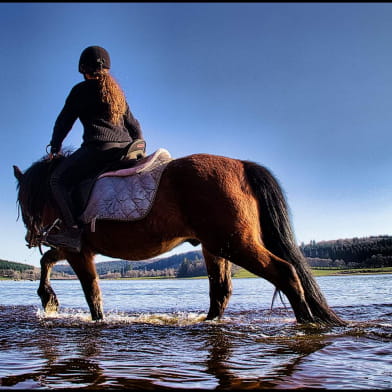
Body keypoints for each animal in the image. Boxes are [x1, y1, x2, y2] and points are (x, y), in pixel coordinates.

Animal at [13, 152, 346, 326]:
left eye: (24, 201)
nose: (31, 237)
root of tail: (241, 164)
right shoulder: (74, 247)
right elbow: (48, 261)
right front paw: (49, 300)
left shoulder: (77, 250)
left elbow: (91, 291)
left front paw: (76, 311)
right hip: (216, 247)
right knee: (221, 290)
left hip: (236, 244)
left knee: (285, 272)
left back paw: (307, 323)